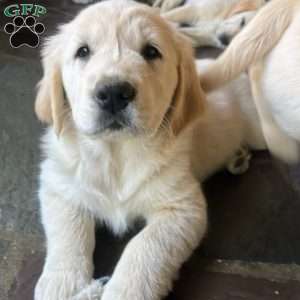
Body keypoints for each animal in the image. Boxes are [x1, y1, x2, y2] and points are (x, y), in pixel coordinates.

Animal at [34, 1, 266, 298]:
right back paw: (237, 157)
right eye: (82, 51)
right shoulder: (60, 186)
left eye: (151, 52)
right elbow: (67, 232)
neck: (115, 151)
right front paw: (62, 283)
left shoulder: (182, 207)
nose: (113, 93)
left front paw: (123, 290)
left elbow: (145, 247)